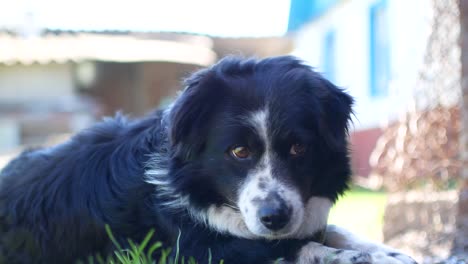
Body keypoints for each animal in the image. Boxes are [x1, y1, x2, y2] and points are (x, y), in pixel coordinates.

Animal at [0, 56, 416, 262]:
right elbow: (301, 248)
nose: (275, 218)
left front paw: (391, 252)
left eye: (299, 148)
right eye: (239, 151)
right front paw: (367, 259)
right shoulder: (195, 249)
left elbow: (334, 231)